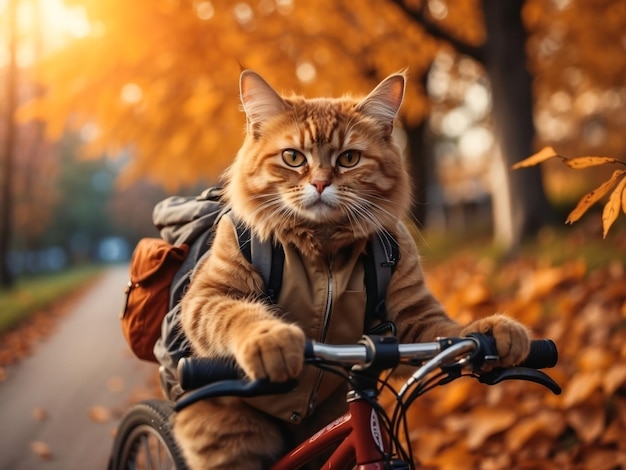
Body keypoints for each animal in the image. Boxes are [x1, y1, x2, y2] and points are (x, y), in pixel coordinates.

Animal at [173, 70, 528, 470]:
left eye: (349, 158)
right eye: (293, 157)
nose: (320, 183)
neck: (324, 251)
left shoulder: (410, 318)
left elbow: (451, 333)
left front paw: (493, 333)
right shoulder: (211, 293)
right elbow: (240, 315)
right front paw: (271, 339)